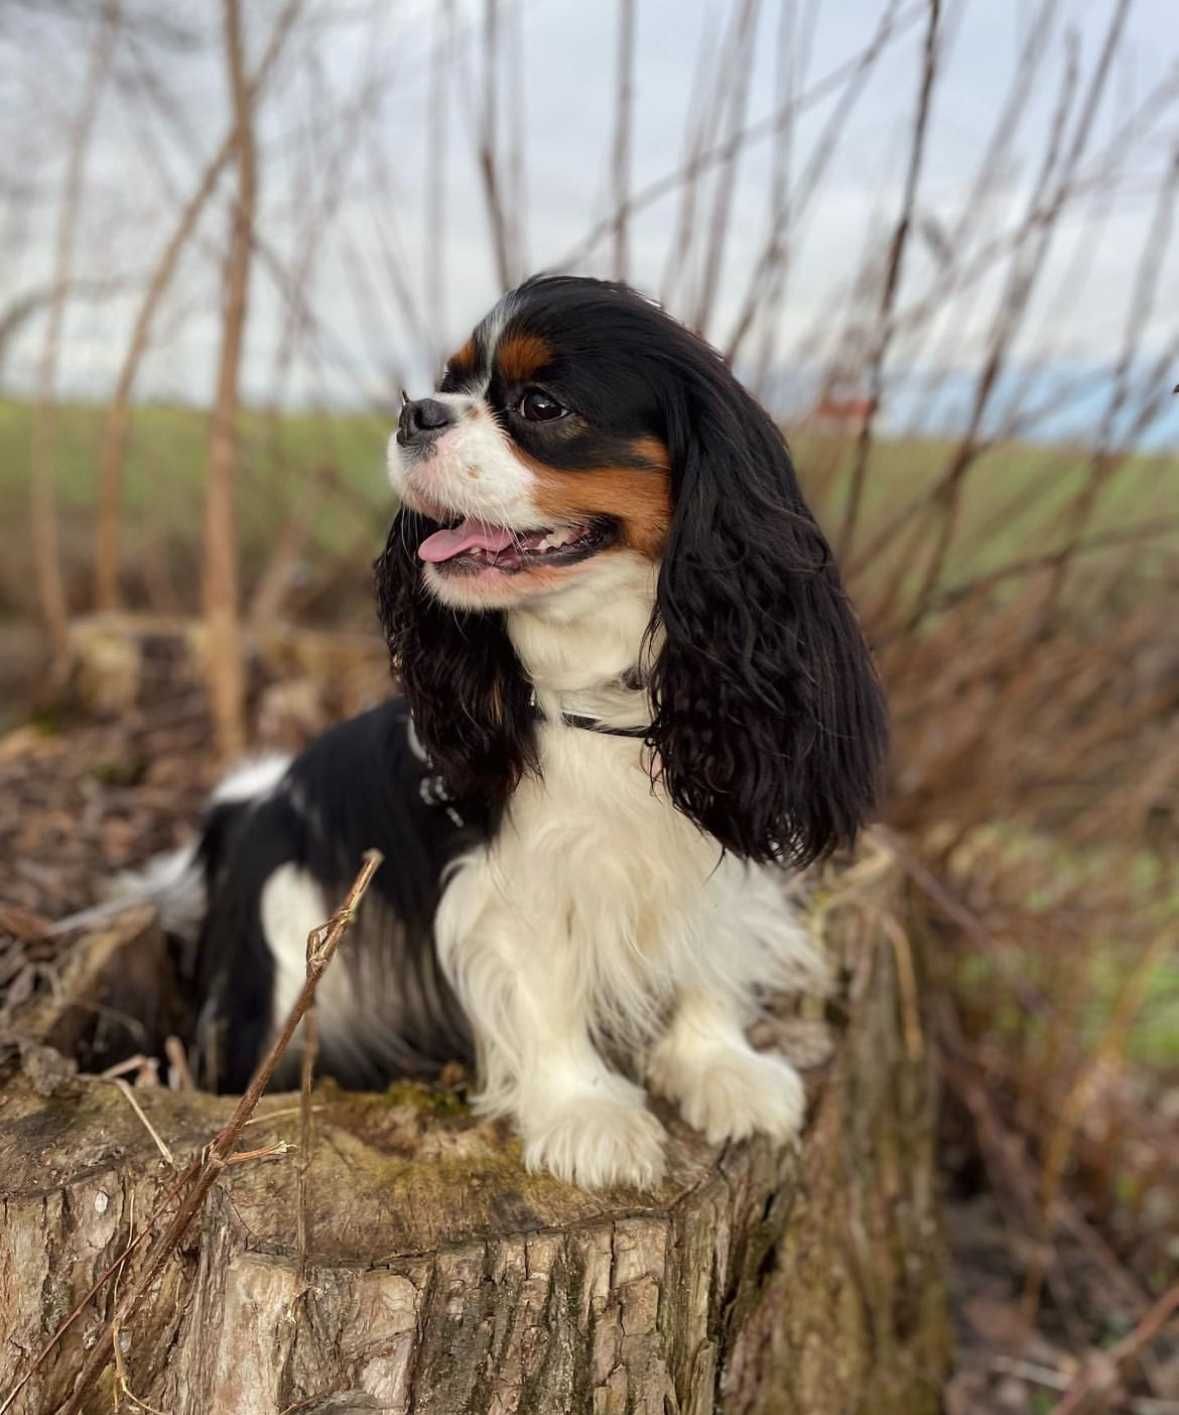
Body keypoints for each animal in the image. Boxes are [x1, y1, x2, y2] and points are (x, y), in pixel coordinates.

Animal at [135, 270, 883, 1188]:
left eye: (539, 404)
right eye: (448, 384)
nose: (416, 413)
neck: (602, 691)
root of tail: (246, 805)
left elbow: (708, 950)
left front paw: (719, 1066)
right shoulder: (514, 873)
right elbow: (543, 979)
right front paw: (585, 1113)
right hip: (284, 942)